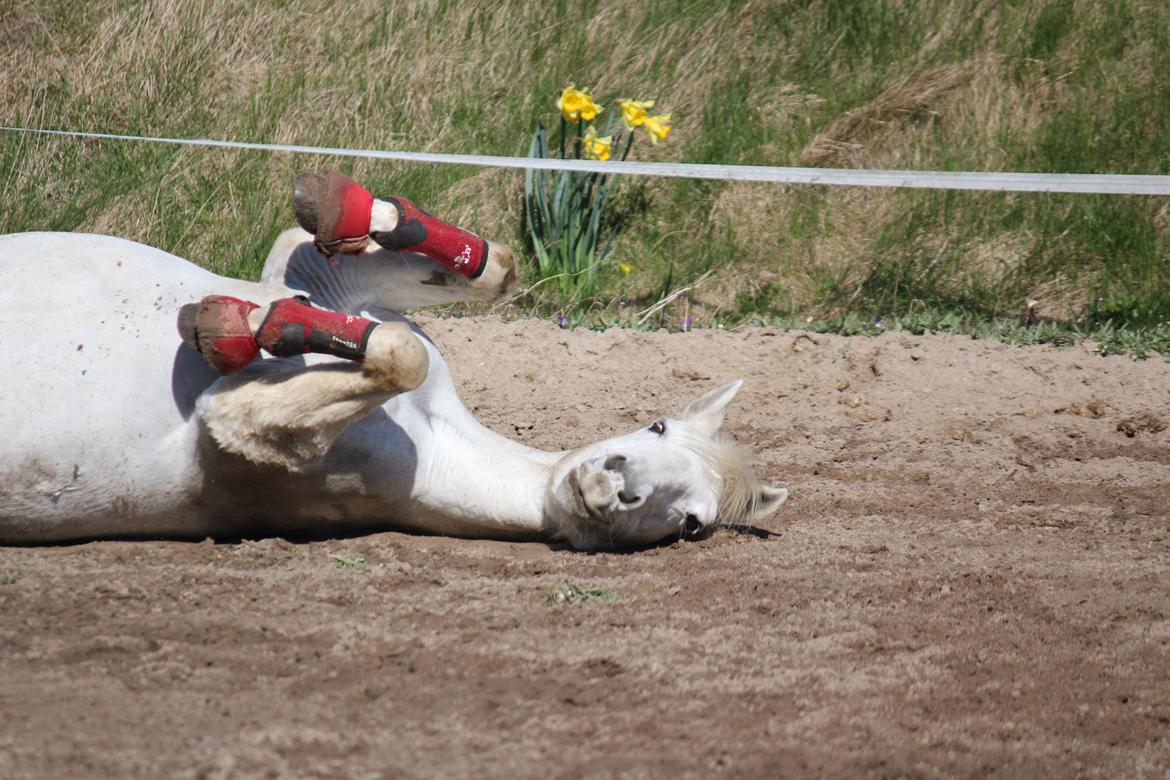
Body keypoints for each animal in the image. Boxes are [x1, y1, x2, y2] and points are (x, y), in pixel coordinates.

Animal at [2, 171, 786, 549]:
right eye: (656, 426)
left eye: (692, 523)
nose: (613, 483)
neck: (435, 434)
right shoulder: (328, 289)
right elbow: (492, 270)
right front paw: (345, 213)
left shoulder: (255, 438)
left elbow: (386, 359)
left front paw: (240, 329)